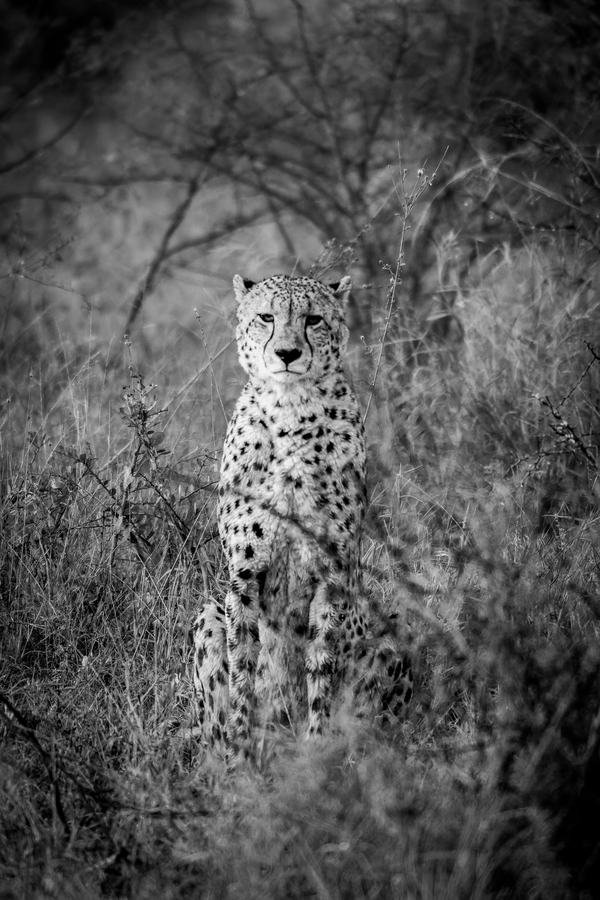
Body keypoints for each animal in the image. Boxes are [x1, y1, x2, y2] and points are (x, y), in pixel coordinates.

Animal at [193, 273, 412, 755]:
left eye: (313, 319)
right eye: (266, 317)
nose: (288, 354)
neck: (290, 410)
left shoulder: (332, 574)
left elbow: (322, 664)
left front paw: (316, 753)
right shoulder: (244, 575)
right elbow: (243, 669)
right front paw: (239, 756)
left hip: (391, 636)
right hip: (207, 614)